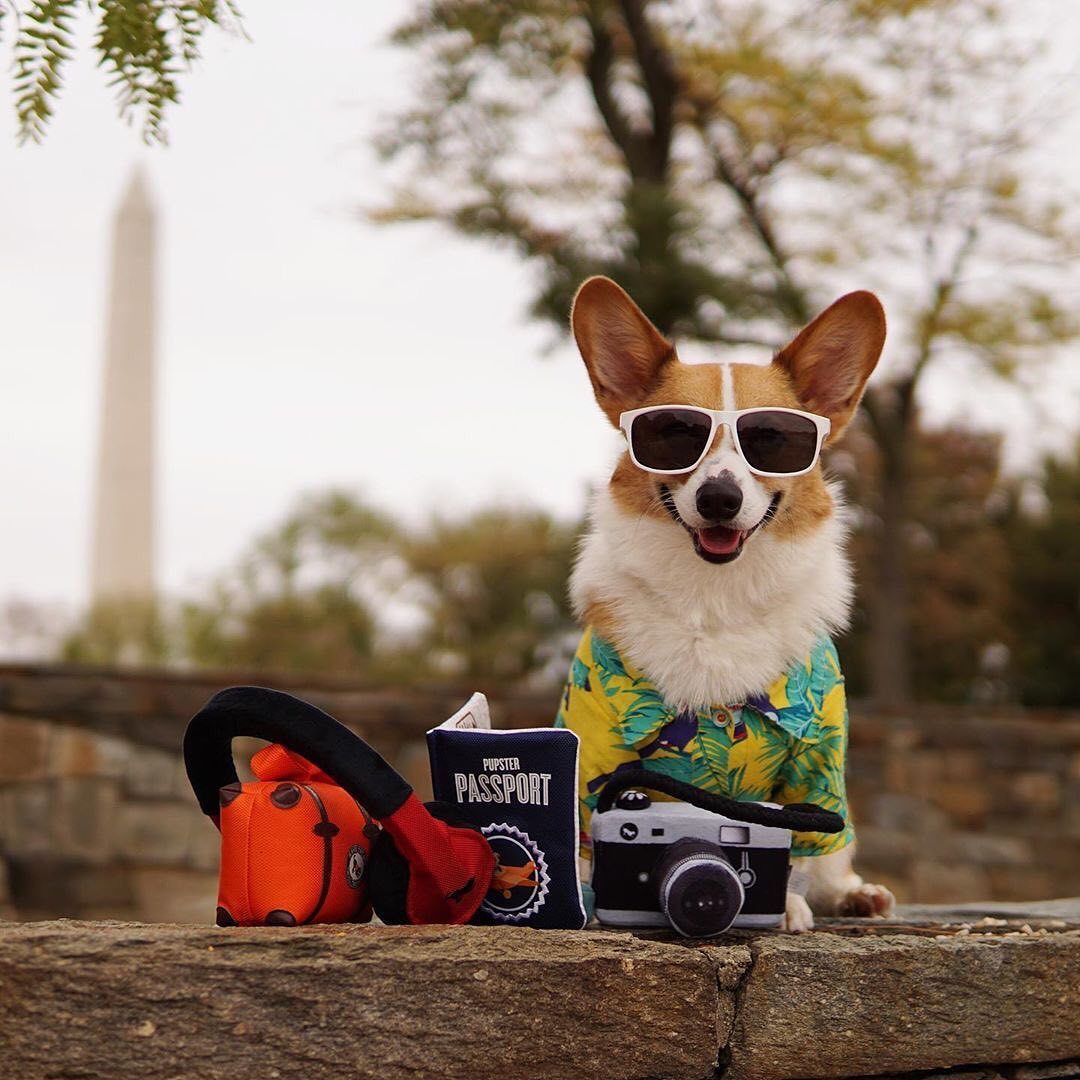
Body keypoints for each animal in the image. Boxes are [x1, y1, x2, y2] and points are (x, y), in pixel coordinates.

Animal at [557, 276, 894, 928]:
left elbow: (802, 839)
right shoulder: (595, 750)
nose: (718, 498)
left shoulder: (816, 762)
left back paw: (855, 894)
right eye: (673, 434)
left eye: (773, 439)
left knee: (835, 858)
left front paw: (782, 905)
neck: (715, 594)